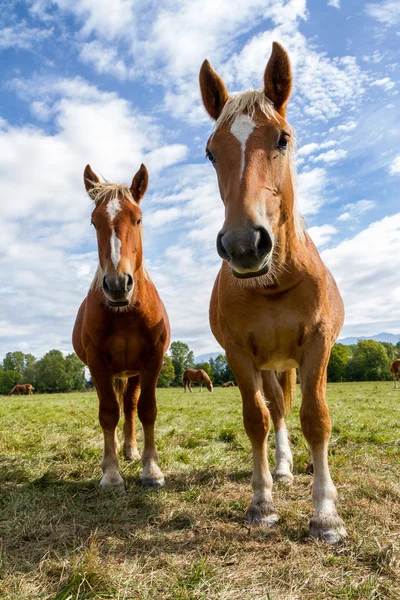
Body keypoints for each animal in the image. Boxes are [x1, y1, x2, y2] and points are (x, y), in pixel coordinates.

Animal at [72, 165, 170, 492]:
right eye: (94, 222)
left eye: (138, 218)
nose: (117, 284)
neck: (125, 312)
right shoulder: (97, 362)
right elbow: (107, 413)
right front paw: (111, 474)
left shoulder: (152, 360)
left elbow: (146, 410)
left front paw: (151, 470)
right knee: (115, 407)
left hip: (133, 372)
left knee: (129, 406)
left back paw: (130, 449)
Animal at [200, 39, 346, 540]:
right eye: (211, 152)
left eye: (282, 138)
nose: (244, 244)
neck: (274, 283)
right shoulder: (241, 356)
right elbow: (258, 419)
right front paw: (262, 502)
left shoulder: (317, 346)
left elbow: (317, 419)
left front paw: (325, 513)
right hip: (271, 366)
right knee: (278, 410)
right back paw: (282, 467)